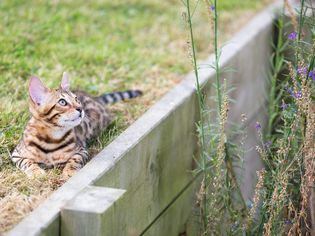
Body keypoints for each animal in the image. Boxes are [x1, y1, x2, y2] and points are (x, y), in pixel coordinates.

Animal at [10, 73, 143, 178]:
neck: (51, 139)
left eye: (76, 99)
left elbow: (74, 160)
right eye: (62, 102)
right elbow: (27, 162)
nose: (80, 108)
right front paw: (36, 172)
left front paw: (69, 171)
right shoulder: (16, 154)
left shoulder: (81, 150)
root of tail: (94, 98)